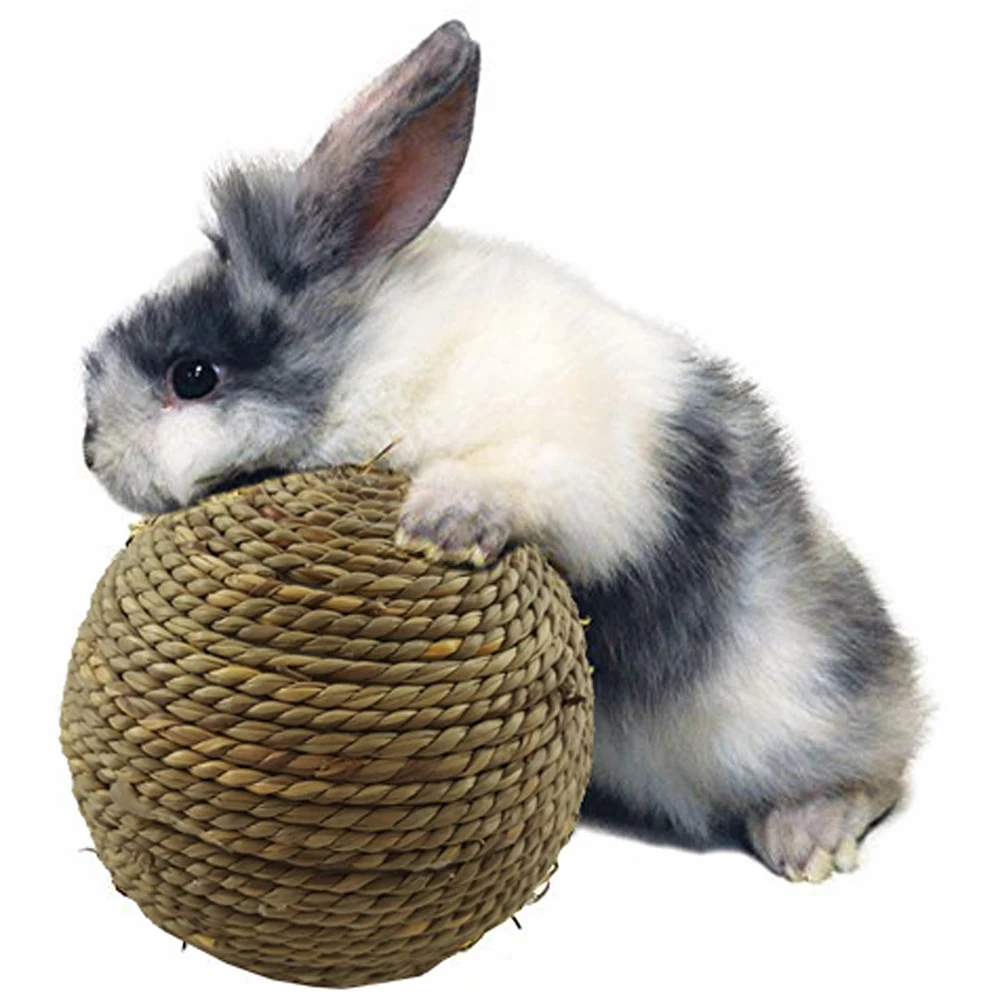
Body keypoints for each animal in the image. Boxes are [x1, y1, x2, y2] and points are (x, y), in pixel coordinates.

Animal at [83, 20, 925, 882]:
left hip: (799, 710)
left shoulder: (581, 467)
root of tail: (898, 682)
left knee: (879, 772)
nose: (90, 451)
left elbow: (517, 479)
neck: (366, 359)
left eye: (192, 376)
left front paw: (439, 524)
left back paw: (811, 838)